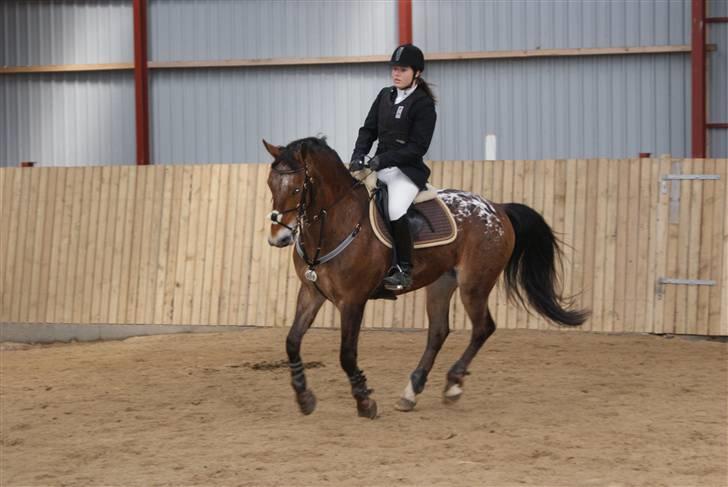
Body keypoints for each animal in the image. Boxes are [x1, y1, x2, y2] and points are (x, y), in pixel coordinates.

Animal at [262, 136, 584, 420]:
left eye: (297, 188)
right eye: (270, 184)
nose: (279, 239)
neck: (335, 224)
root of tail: (497, 209)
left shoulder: (353, 301)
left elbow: (347, 354)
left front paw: (365, 401)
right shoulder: (311, 292)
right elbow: (292, 341)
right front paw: (304, 396)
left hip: (474, 285)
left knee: (483, 328)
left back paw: (453, 385)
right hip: (441, 284)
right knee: (438, 332)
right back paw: (411, 392)